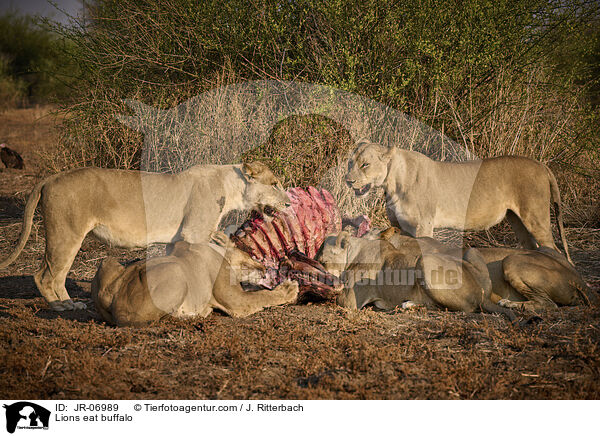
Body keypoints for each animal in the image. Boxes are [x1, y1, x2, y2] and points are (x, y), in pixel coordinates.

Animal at [0, 163, 290, 310]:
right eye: (275, 183)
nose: (288, 202)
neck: (232, 188)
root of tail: (51, 177)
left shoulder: (179, 239)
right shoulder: (195, 231)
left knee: (53, 274)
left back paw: (69, 303)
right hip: (66, 232)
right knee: (45, 274)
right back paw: (62, 306)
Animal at [90, 232, 298, 328]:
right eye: (250, 256)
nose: (264, 268)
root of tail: (117, 305)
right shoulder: (235, 301)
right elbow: (261, 296)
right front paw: (290, 289)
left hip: (106, 262)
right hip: (176, 271)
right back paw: (196, 314)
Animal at [344, 140, 568, 262]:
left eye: (365, 164)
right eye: (350, 163)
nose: (348, 180)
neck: (392, 183)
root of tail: (542, 165)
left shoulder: (423, 225)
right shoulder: (401, 226)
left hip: (535, 216)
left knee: (554, 249)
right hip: (517, 220)